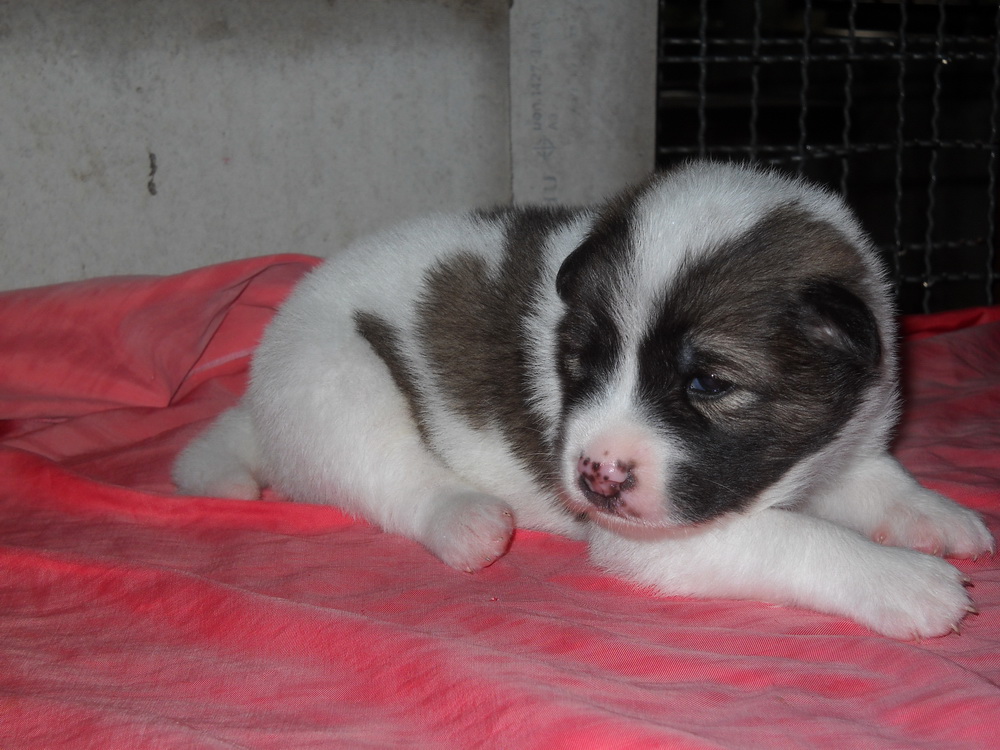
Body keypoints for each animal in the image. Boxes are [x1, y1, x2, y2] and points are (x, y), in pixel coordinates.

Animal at [174, 160, 994, 639]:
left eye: (709, 383)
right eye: (580, 365)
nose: (595, 478)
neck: (794, 466)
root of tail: (256, 398)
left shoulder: (850, 443)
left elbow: (886, 482)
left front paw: (941, 517)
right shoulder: (668, 538)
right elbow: (800, 539)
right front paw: (905, 582)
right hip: (337, 379)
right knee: (390, 476)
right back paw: (467, 523)